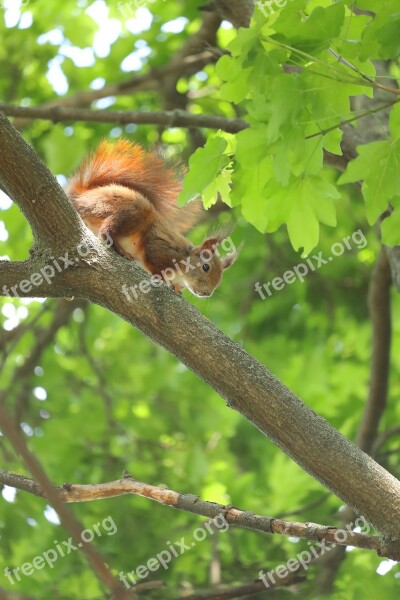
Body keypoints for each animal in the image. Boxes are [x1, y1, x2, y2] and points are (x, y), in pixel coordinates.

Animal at [67, 141, 239, 300]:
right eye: (205, 267)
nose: (206, 293)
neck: (184, 259)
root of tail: (82, 197)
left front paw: (176, 288)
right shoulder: (161, 248)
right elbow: (153, 259)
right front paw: (163, 279)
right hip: (131, 210)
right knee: (106, 231)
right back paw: (120, 249)